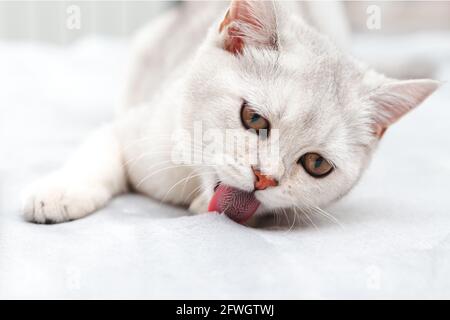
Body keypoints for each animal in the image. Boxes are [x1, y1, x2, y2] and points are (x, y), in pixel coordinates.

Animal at [22, 0, 438, 225]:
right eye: (253, 119)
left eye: (317, 164)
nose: (264, 178)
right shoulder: (139, 127)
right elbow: (99, 150)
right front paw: (61, 192)